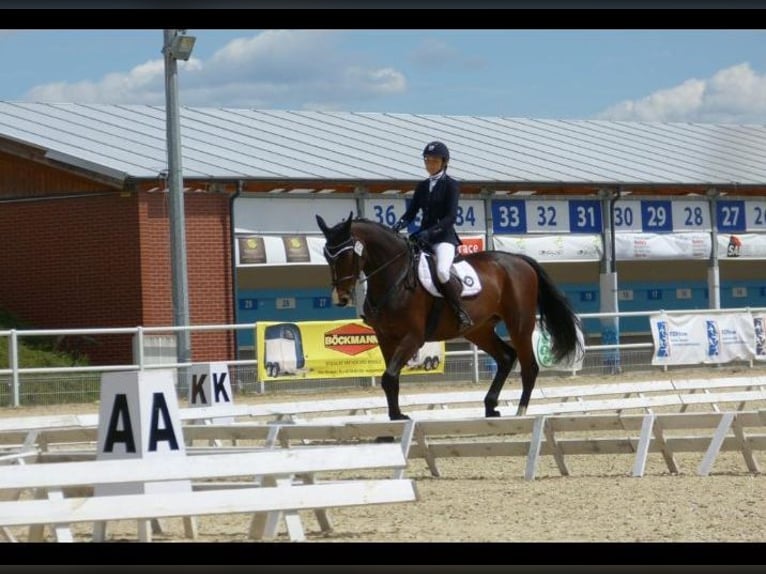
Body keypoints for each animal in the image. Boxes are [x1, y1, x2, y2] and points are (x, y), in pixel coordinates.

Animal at [316, 214, 584, 420]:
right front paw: (396, 415)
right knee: (507, 357)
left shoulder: (413, 337)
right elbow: (390, 378)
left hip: (519, 324)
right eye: (327, 256)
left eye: (346, 255)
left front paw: (398, 416)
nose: (340, 298)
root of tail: (519, 259)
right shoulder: (385, 338)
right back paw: (490, 406)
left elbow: (389, 376)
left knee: (529, 366)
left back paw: (520, 411)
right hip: (478, 330)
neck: (395, 278)